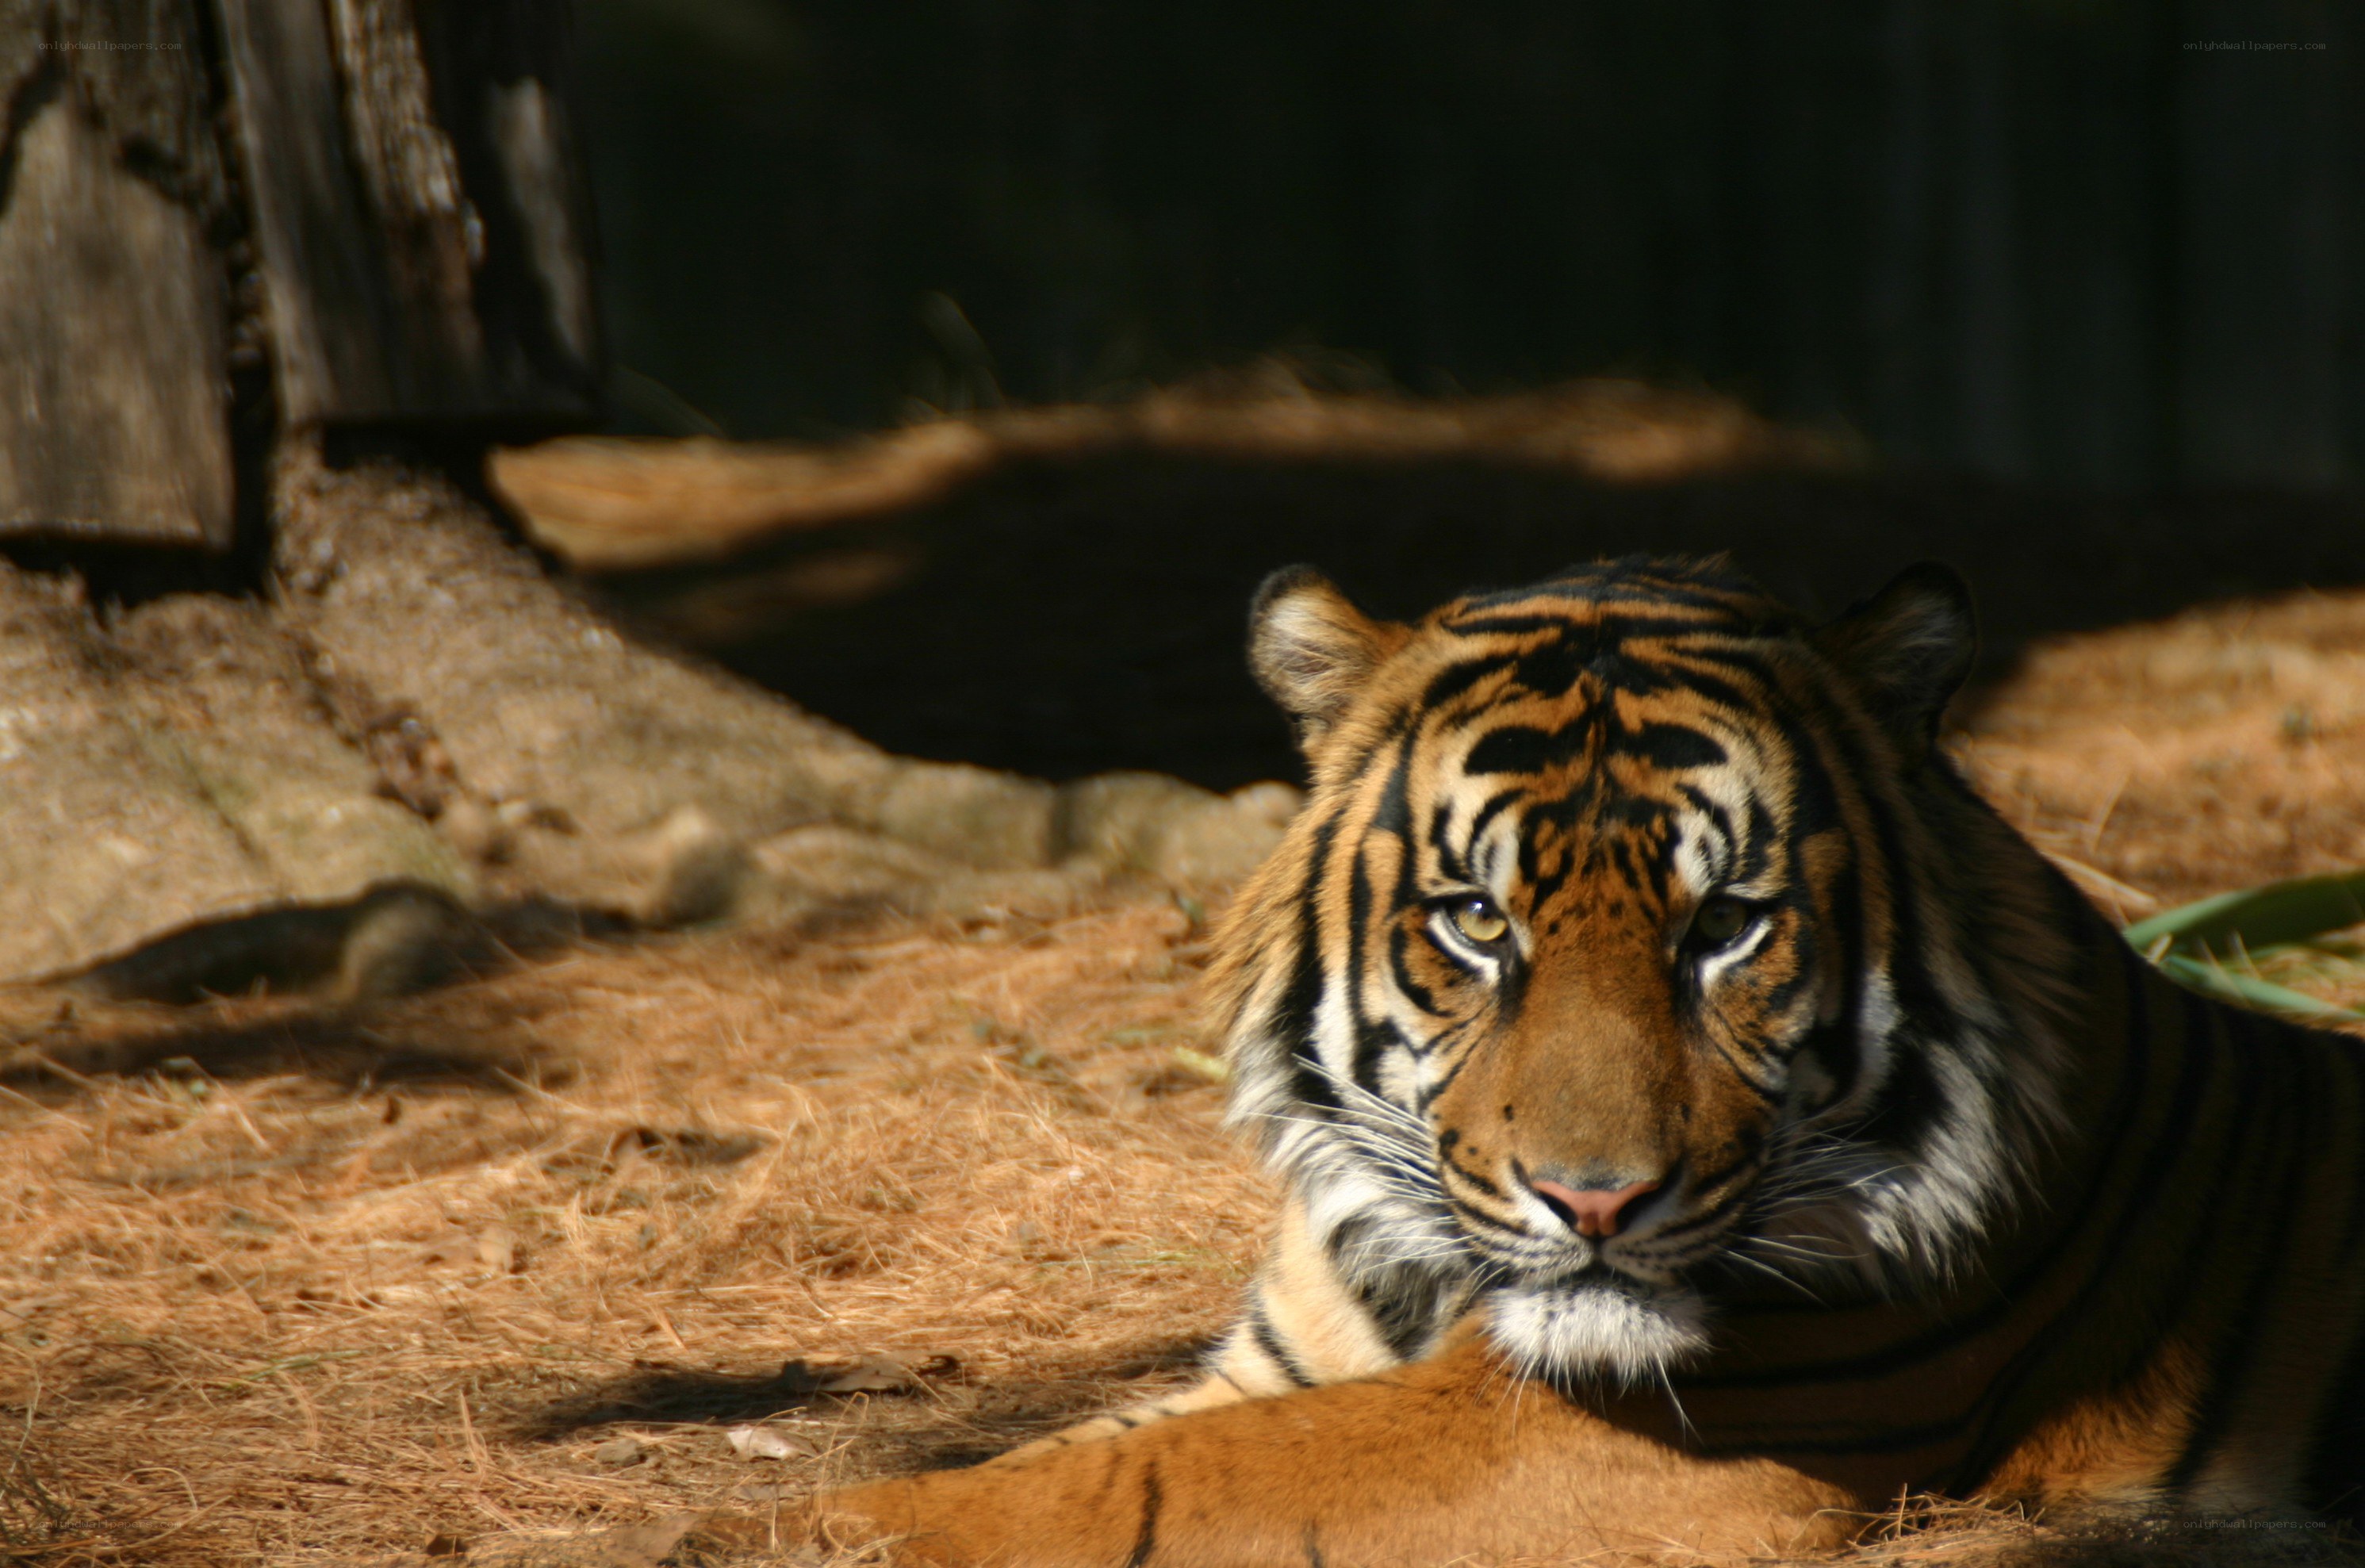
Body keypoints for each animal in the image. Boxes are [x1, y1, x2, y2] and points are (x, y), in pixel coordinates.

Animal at [810, 557, 2365, 1566]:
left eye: (1724, 925)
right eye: (1476, 919)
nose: (1596, 1202)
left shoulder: (1629, 1433)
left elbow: (1120, 1490)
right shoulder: (1272, 1366)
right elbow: (1058, 1454)